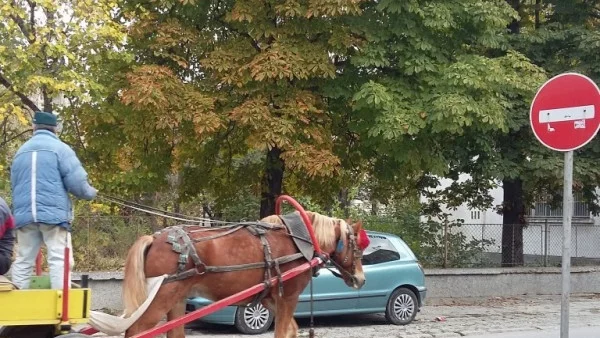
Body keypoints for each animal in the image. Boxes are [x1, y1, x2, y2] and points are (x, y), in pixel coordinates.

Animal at [121, 211, 368, 338]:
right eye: (357, 247)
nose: (361, 279)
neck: (300, 241)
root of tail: (155, 238)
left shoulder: (271, 300)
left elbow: (291, 330)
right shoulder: (288, 298)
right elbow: (282, 332)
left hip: (177, 300)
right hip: (162, 297)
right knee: (136, 330)